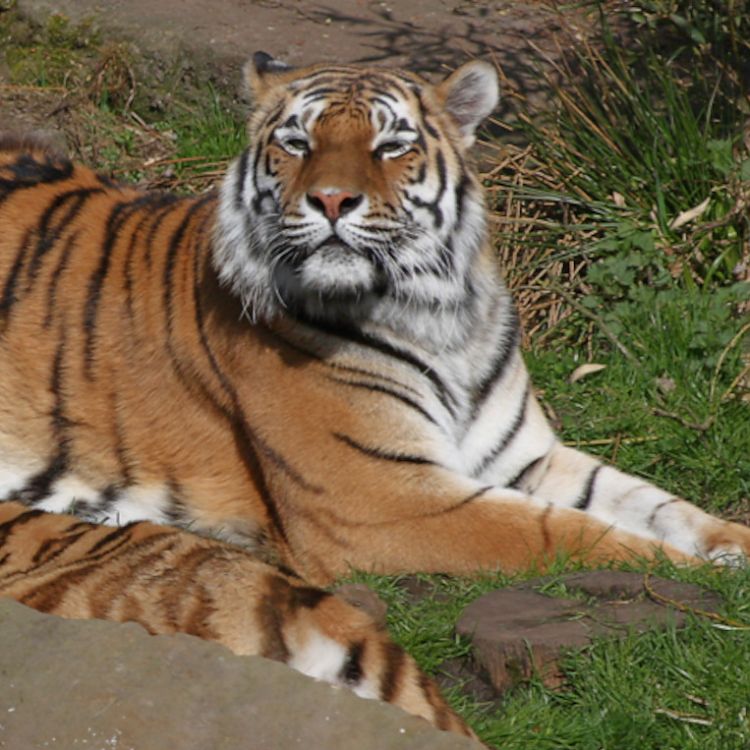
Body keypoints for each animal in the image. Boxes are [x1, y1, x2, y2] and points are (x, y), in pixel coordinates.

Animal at [0, 51, 749, 696]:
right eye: (297, 143)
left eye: (391, 146)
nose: (332, 201)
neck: (441, 317)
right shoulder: (380, 498)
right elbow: (567, 532)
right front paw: (698, 577)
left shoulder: (522, 457)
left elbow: (653, 502)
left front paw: (731, 546)